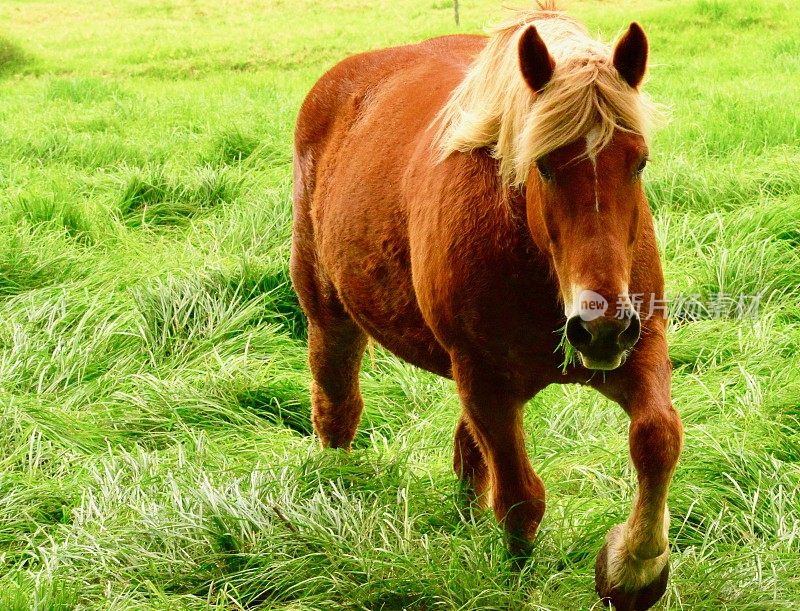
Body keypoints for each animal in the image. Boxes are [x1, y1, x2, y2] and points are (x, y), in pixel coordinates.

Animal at [290, 2, 684, 608]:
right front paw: (518, 582)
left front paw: (633, 570)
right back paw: (338, 493)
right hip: (329, 316)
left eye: (637, 162)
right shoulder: (484, 377)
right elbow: (522, 499)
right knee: (337, 409)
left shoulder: (638, 347)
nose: (599, 329)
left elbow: (657, 438)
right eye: (544, 165)